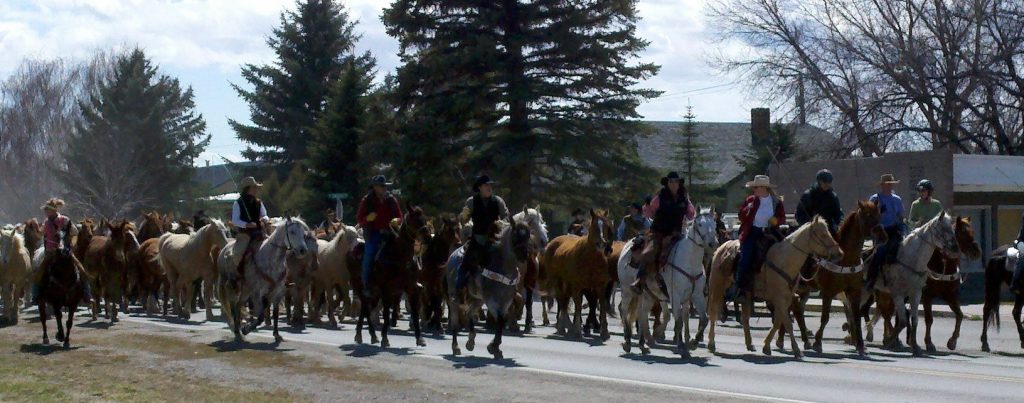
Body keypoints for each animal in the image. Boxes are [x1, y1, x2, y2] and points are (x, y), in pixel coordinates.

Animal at [354, 203, 430, 347]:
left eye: (424, 219)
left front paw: (420, 338)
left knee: (365, 309)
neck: (400, 256)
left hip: (375, 292)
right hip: (364, 288)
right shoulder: (386, 289)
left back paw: (369, 335)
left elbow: (415, 312)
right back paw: (364, 335)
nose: (428, 238)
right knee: (365, 307)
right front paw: (385, 338)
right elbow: (385, 313)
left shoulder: (411, 288)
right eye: (414, 220)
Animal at [446, 218, 532, 357]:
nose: (524, 255)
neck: (503, 268)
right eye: (515, 236)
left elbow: (502, 320)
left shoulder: (506, 301)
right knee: (455, 320)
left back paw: (471, 341)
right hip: (455, 296)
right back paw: (456, 347)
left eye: (528, 235)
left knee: (468, 312)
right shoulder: (492, 300)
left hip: (478, 299)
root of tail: (452, 255)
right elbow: (500, 320)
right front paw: (494, 347)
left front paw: (495, 346)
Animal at [540, 210, 610, 339]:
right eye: (594, 226)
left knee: (565, 298)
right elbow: (578, 304)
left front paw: (604, 331)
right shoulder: (578, 285)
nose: (601, 243)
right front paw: (577, 329)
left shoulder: (600, 285)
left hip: (567, 283)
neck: (590, 259)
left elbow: (601, 305)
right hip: (557, 280)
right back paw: (563, 326)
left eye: (606, 226)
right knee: (562, 299)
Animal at [708, 215, 843, 357]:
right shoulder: (780, 298)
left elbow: (779, 321)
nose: (839, 253)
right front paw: (796, 349)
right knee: (713, 312)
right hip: (717, 287)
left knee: (745, 318)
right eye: (823, 234)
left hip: (746, 294)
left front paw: (767, 346)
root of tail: (720, 248)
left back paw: (749, 344)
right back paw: (711, 343)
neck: (784, 259)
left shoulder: (786, 297)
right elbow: (787, 322)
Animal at [864, 210, 958, 355]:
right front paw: (891, 341)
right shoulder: (898, 294)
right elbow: (903, 321)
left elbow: (914, 320)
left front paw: (915, 346)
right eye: (943, 228)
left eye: (953, 228)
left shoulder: (916, 293)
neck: (910, 258)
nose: (955, 248)